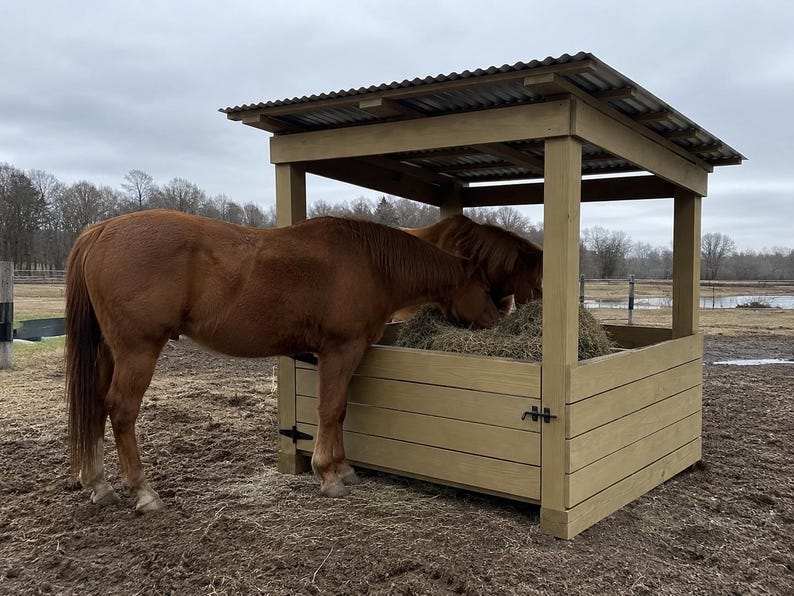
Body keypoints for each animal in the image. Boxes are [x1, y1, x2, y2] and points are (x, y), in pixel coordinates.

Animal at [65, 210, 498, 512]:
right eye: (485, 286)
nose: (497, 319)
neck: (370, 263)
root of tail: (99, 231)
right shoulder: (341, 350)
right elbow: (330, 409)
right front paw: (329, 474)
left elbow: (340, 412)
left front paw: (343, 468)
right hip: (138, 350)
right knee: (121, 410)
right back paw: (142, 490)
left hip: (109, 351)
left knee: (94, 407)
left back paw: (99, 484)